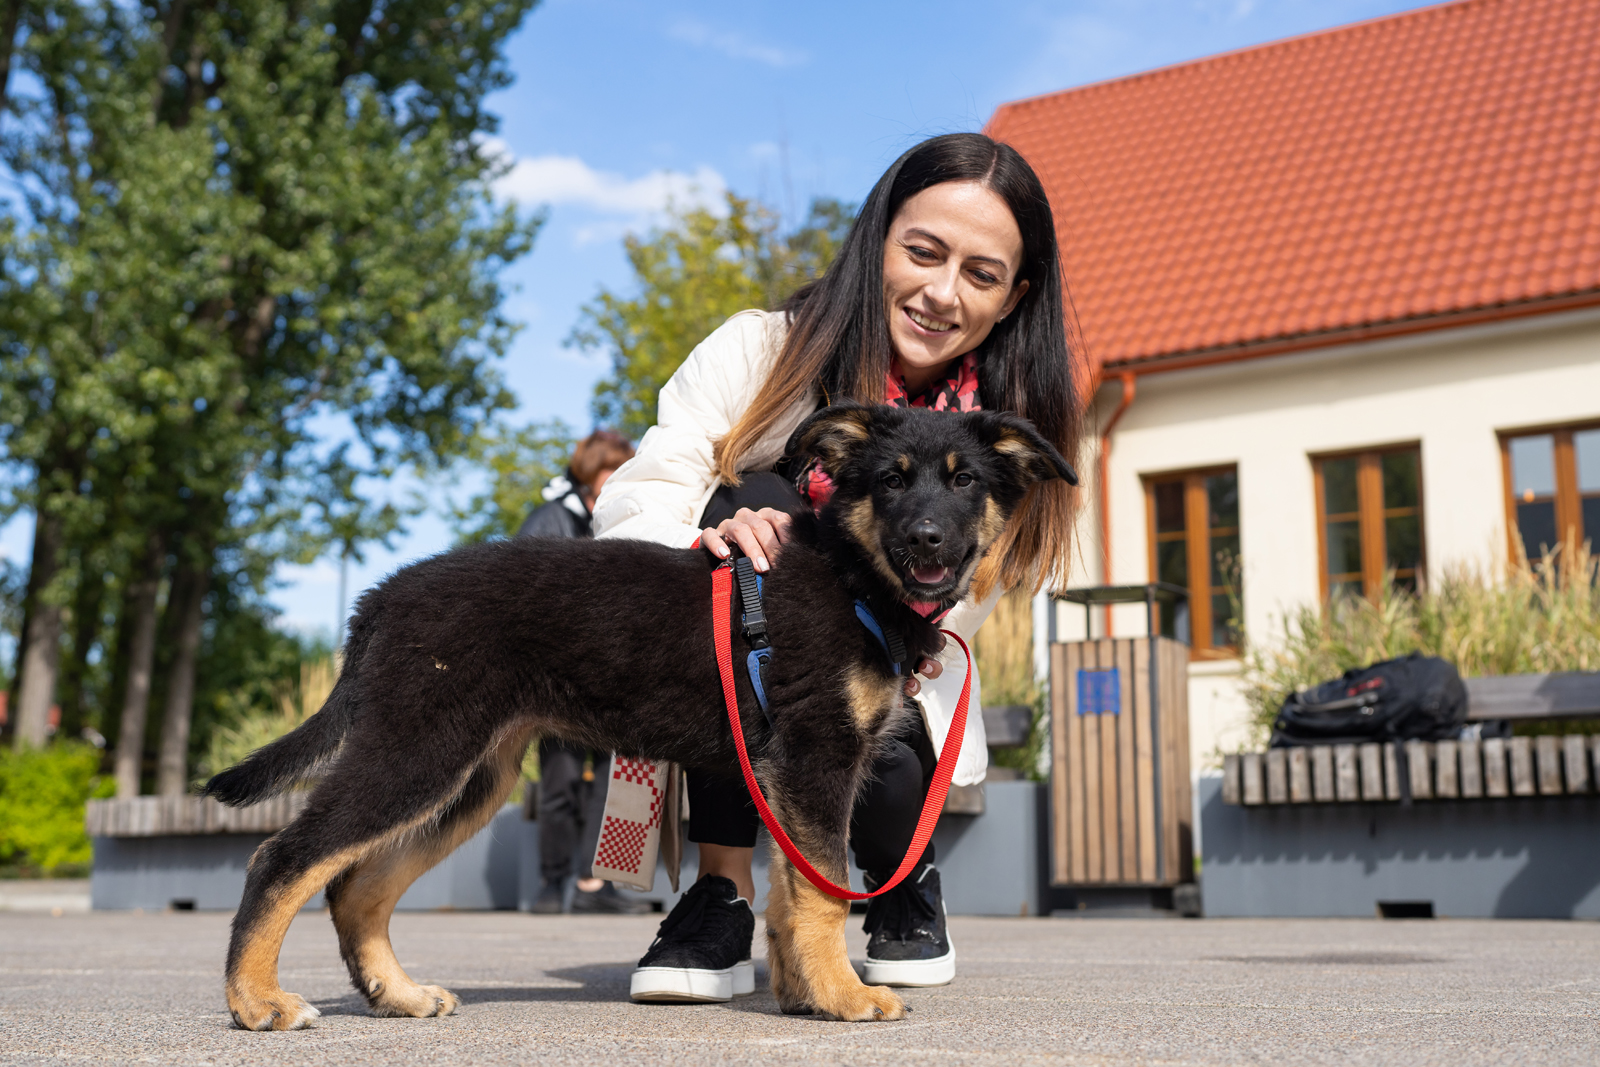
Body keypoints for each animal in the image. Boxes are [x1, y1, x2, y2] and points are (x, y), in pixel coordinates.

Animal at [200, 399, 1075, 1023]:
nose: (928, 540)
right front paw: (844, 998)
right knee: (283, 857)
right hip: (417, 748)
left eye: (964, 482)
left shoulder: (795, 771)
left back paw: (398, 993)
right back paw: (255, 1001)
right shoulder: (817, 756)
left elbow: (794, 891)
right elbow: (824, 887)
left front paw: (805, 995)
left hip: (468, 776)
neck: (852, 574)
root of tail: (380, 600)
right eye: (891, 480)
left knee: (358, 885)